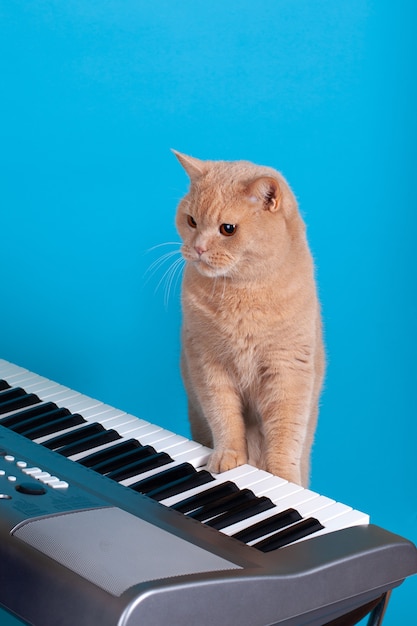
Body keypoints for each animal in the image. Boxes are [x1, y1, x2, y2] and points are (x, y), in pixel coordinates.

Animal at [174, 151, 324, 488]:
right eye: (191, 221)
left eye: (228, 229)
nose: (198, 248)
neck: (241, 293)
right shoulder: (208, 363)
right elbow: (224, 417)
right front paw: (228, 458)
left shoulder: (288, 369)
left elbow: (284, 433)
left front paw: (282, 479)